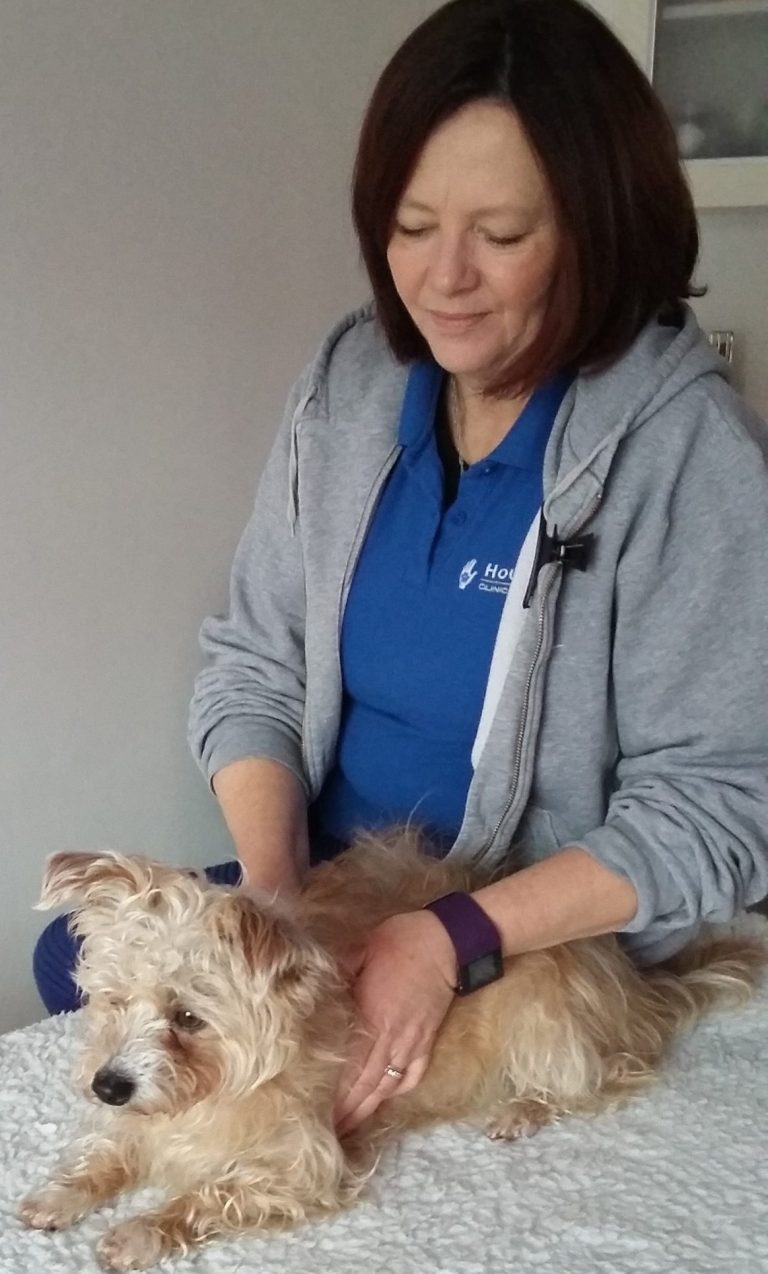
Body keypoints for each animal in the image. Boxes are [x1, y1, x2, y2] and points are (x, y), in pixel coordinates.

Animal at [19, 830, 767, 1270]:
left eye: (187, 1017)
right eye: (114, 1000)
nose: (107, 1085)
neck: (209, 1092)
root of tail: (637, 989)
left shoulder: (303, 1170)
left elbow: (210, 1194)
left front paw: (144, 1229)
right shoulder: (138, 1122)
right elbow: (107, 1154)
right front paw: (64, 1193)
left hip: (545, 1010)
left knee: (613, 1073)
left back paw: (524, 1107)